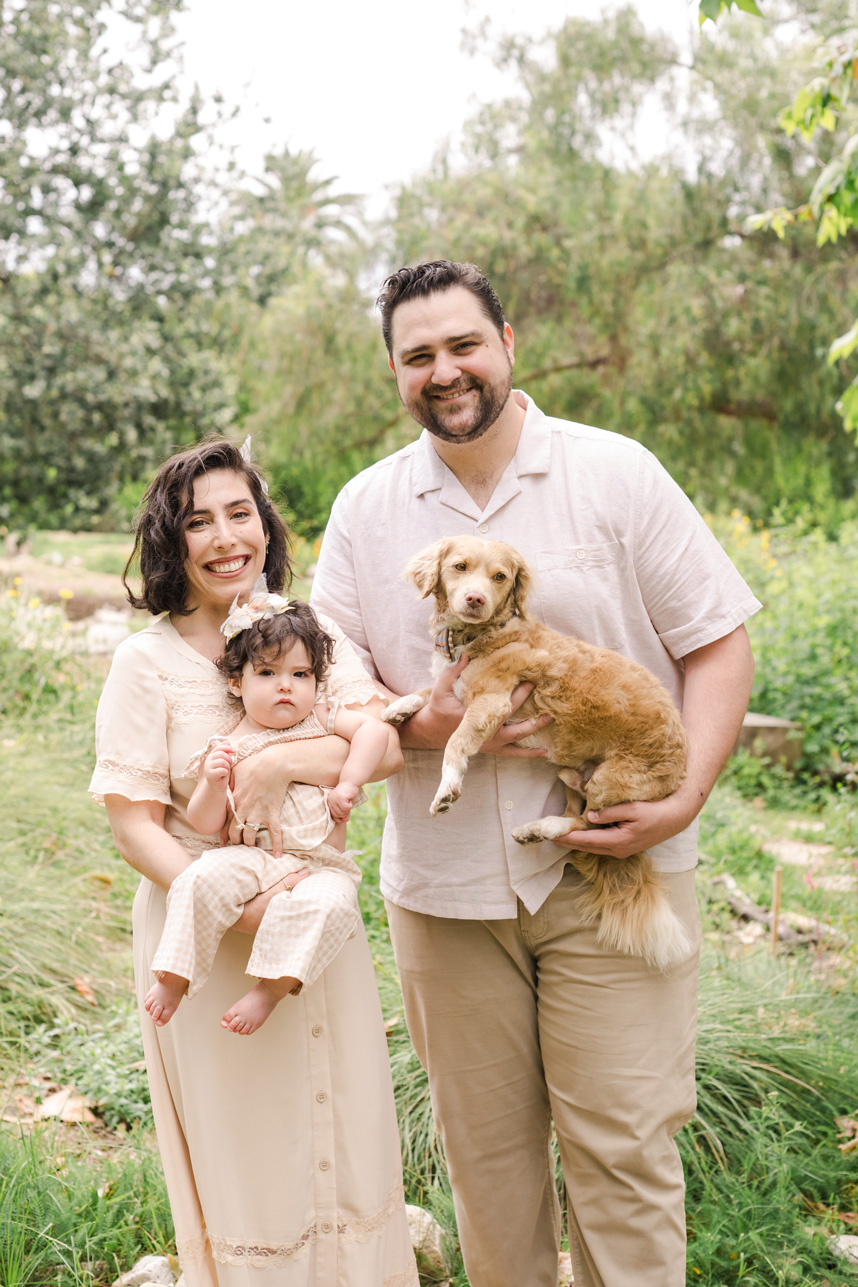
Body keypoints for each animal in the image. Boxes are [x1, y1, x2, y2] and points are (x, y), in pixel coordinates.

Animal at [382, 536, 692, 972]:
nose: (476, 598)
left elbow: (455, 742)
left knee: (587, 824)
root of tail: (682, 765)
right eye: (460, 566)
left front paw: (447, 787)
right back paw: (537, 827)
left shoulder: (491, 702)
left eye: (500, 577)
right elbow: (427, 694)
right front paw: (400, 706)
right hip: (578, 773)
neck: (479, 635)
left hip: (609, 780)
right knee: (576, 806)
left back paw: (546, 827)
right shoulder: (455, 692)